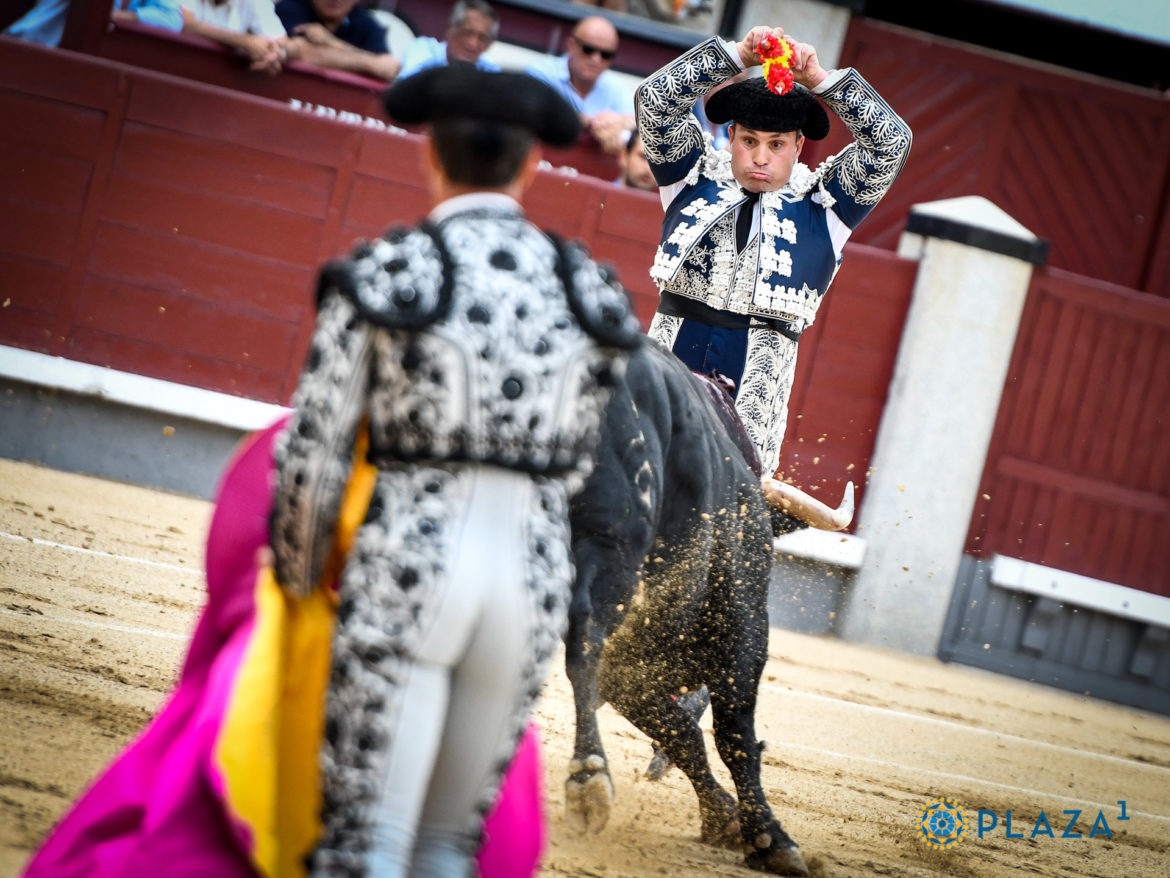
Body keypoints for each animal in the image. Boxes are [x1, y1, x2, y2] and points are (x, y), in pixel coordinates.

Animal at [566, 339, 814, 878]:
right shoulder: (743, 630)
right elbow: (732, 735)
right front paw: (768, 837)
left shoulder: (632, 669)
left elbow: (681, 732)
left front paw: (722, 816)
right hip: (612, 550)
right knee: (585, 639)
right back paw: (589, 781)